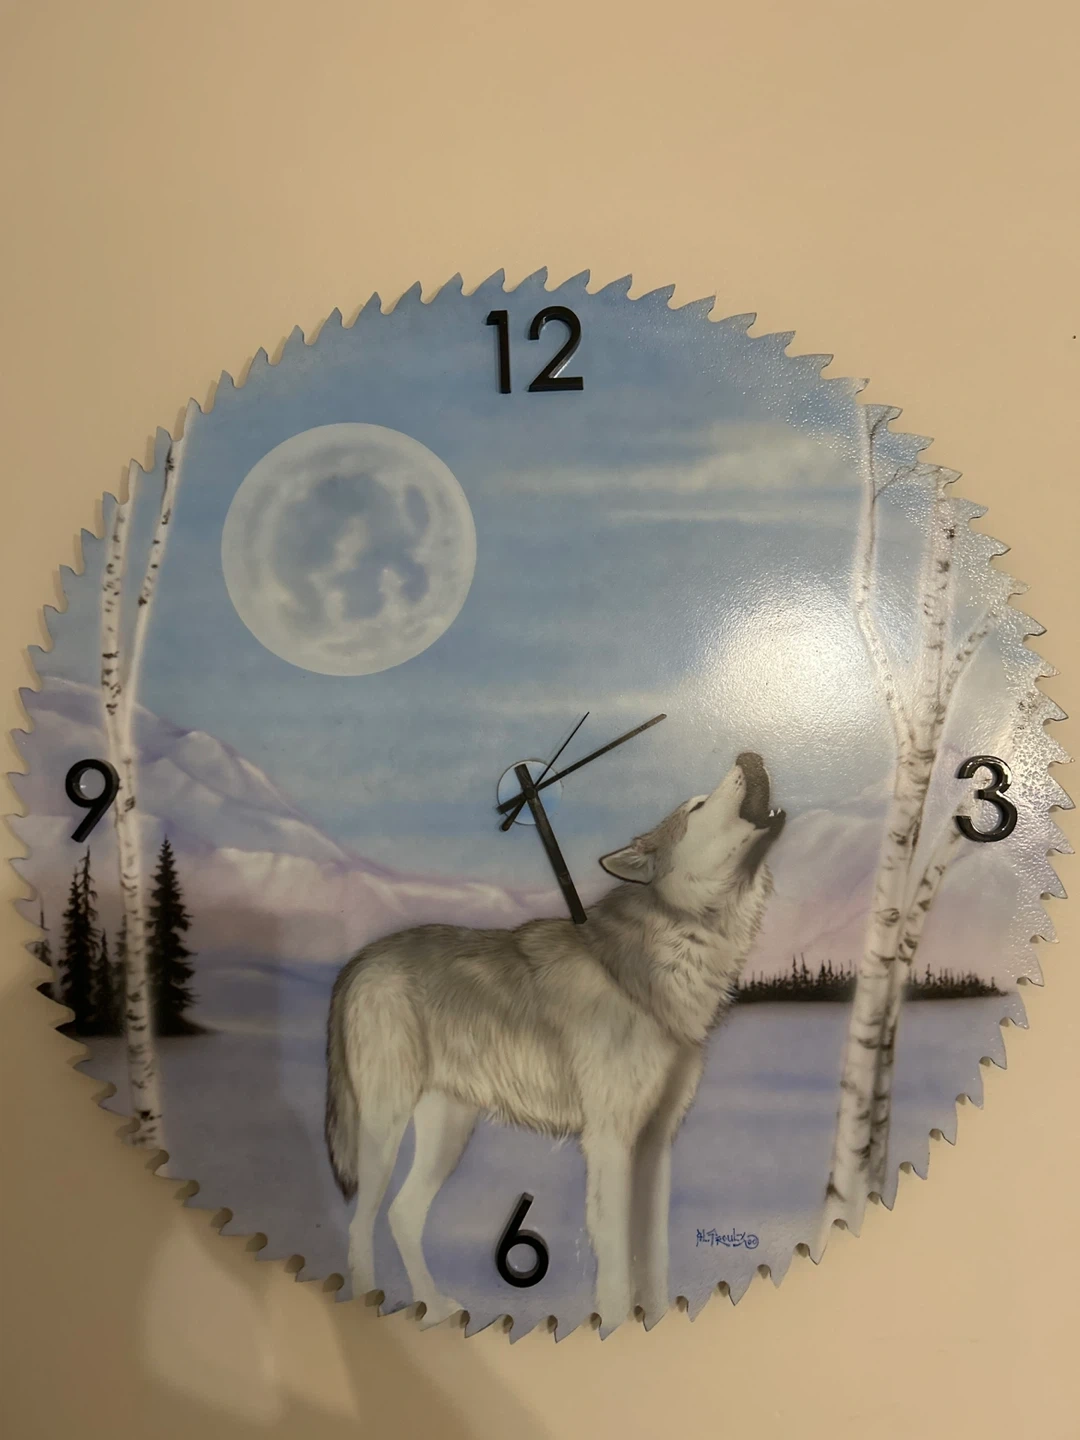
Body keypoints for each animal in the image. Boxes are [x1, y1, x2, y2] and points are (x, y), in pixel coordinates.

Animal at [325, 752, 784, 1328]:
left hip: (448, 1130)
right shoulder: (610, 1144)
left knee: (401, 1215)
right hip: (384, 1128)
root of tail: (358, 960)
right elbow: (616, 1274)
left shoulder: (655, 1147)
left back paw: (433, 1308)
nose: (750, 755)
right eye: (698, 806)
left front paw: (653, 1323)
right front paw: (614, 1329)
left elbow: (653, 1264)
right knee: (359, 1223)